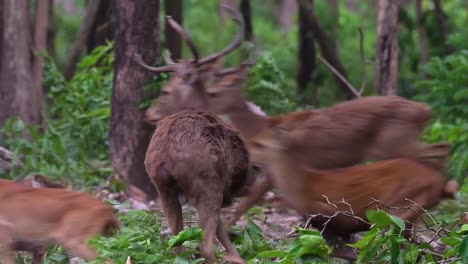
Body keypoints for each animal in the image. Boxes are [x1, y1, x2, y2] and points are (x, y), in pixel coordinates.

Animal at [144, 109, 254, 264]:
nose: (229, 201)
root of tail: (167, 151)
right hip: (205, 181)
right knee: (205, 241)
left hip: (162, 186)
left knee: (176, 236)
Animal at [249, 127, 458, 258]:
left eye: (259, 144)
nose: (247, 153)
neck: (299, 185)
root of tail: (440, 183)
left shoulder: (332, 215)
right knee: (421, 246)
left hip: (396, 209)